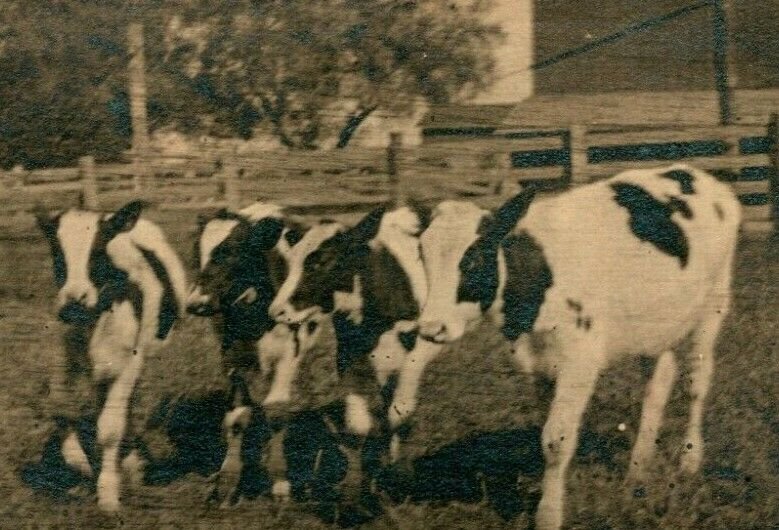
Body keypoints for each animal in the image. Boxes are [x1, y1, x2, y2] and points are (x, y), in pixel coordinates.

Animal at [35, 200, 190, 510]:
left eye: (98, 250)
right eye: (57, 251)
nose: (74, 301)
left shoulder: (129, 363)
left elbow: (110, 427)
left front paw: (107, 492)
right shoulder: (66, 356)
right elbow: (58, 404)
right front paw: (79, 460)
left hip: (141, 358)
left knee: (124, 407)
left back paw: (129, 461)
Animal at [186, 201, 320, 504]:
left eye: (231, 251)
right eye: (197, 253)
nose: (196, 303)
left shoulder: (288, 354)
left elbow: (277, 412)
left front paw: (280, 483)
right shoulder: (231, 356)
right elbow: (237, 415)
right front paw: (227, 481)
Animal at [266, 204, 438, 510]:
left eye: (321, 262)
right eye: (293, 261)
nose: (277, 310)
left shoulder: (419, 350)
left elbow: (401, 413)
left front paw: (398, 480)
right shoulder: (349, 354)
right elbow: (358, 424)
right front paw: (354, 496)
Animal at [412, 164, 740, 528]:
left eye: (476, 256)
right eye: (422, 255)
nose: (431, 328)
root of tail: (693, 172)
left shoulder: (580, 360)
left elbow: (556, 440)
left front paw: (548, 515)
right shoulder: (541, 362)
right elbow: (547, 433)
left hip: (715, 303)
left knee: (696, 384)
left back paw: (689, 459)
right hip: (657, 323)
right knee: (658, 384)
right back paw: (638, 469)